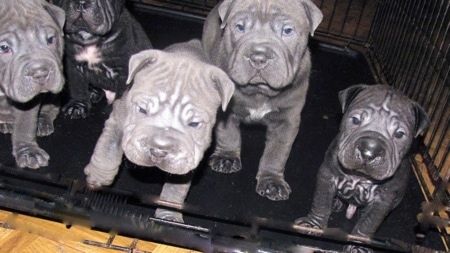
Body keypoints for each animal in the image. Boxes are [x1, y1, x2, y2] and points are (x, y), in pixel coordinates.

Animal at [0, 0, 65, 169]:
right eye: (4, 48)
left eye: (50, 39)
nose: (40, 73)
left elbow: (25, 123)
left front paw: (29, 152)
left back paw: (42, 122)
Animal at [83, 39, 236, 221]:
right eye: (142, 110)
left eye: (194, 124)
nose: (158, 151)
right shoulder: (119, 118)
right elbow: (108, 148)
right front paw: (97, 178)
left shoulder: (188, 156)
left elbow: (177, 186)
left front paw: (169, 215)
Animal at [202, 0, 322, 201]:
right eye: (240, 27)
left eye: (287, 31)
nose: (258, 57)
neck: (259, 91)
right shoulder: (225, 109)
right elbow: (228, 133)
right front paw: (226, 157)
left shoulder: (287, 120)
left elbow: (277, 152)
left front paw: (272, 182)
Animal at [298, 84, 430, 252]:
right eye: (355, 120)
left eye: (399, 134)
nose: (369, 151)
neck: (360, 176)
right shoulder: (327, 176)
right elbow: (320, 202)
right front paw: (312, 225)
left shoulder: (383, 199)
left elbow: (369, 223)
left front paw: (358, 244)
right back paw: (336, 202)